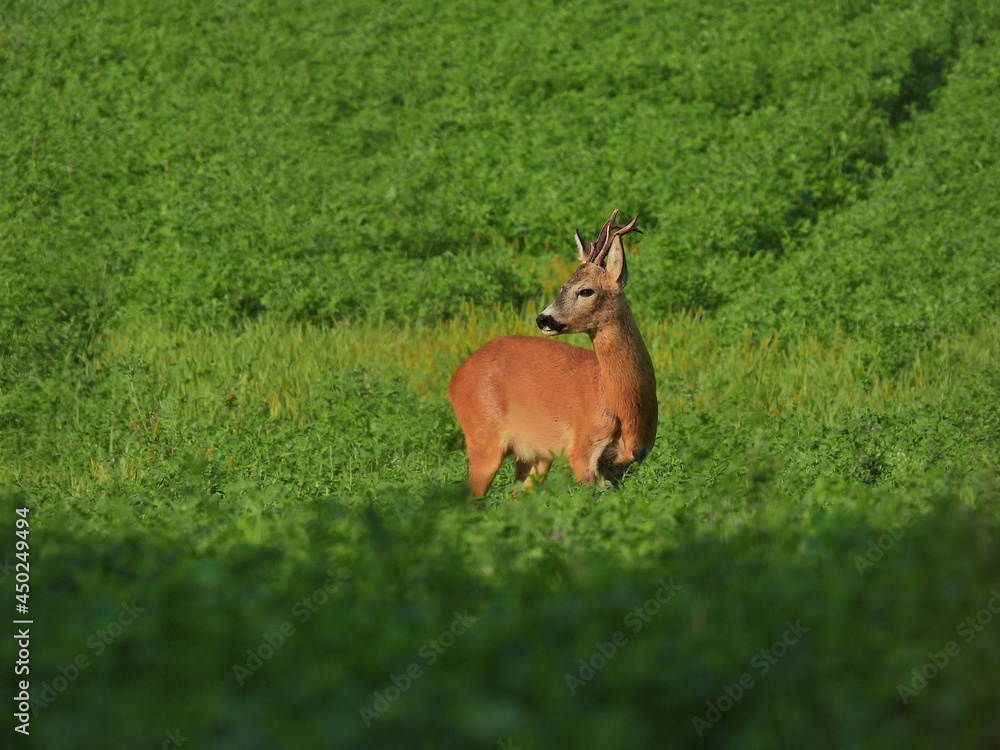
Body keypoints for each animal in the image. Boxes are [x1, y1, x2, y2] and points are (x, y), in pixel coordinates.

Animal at [447, 209, 657, 496]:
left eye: (586, 290)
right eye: (562, 286)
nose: (543, 319)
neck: (620, 405)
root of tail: (454, 379)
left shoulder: (628, 464)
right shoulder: (582, 451)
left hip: (536, 455)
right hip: (482, 437)